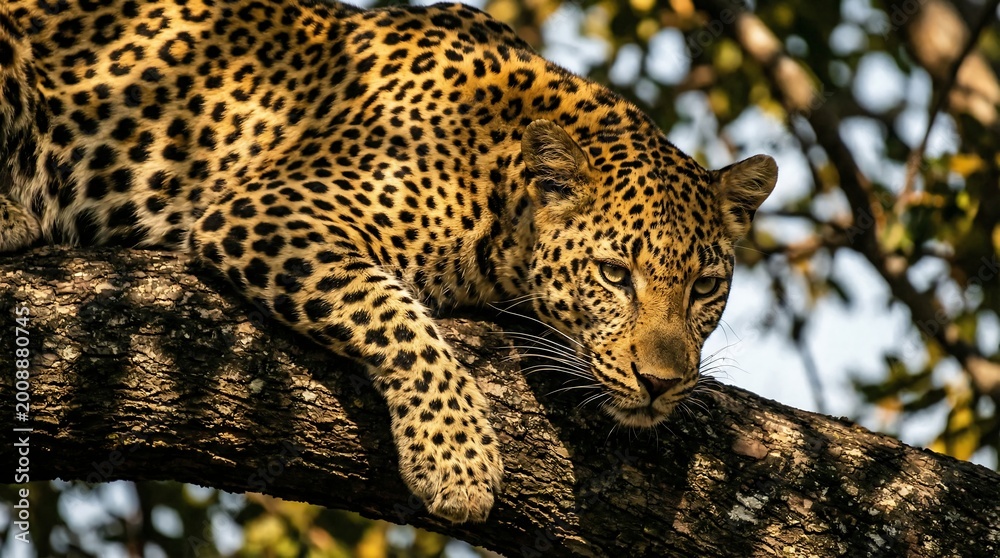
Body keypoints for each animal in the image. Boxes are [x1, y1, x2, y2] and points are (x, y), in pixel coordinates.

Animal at [0, 0, 777, 523]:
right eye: (615, 274)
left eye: (706, 287)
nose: (661, 384)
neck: (499, 183)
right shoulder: (265, 208)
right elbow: (393, 310)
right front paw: (458, 462)